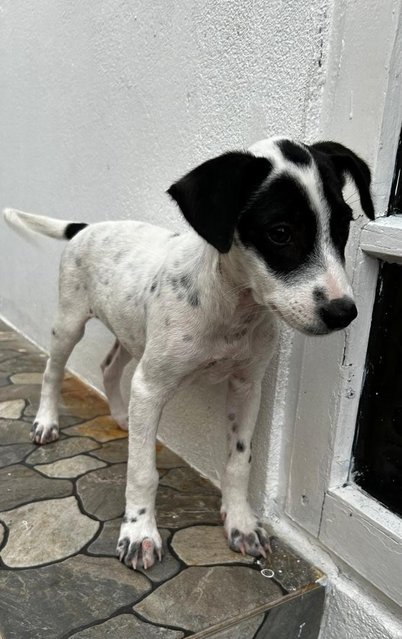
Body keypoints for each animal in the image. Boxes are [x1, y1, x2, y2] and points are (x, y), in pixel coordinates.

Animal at [3, 136, 374, 568]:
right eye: (280, 232)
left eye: (344, 225)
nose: (344, 313)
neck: (231, 308)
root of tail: (87, 227)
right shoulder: (151, 386)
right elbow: (142, 470)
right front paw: (139, 533)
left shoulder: (246, 387)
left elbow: (238, 462)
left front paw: (241, 523)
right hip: (70, 323)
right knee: (52, 371)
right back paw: (46, 421)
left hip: (132, 335)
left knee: (109, 367)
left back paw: (121, 415)